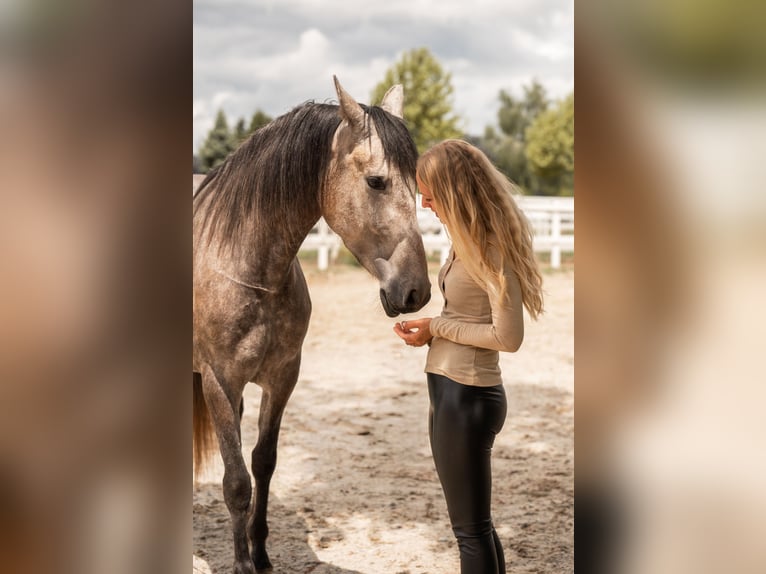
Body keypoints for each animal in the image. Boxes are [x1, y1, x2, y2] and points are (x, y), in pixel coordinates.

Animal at [193, 76, 431, 573]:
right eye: (376, 181)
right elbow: (236, 482)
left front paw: (261, 554)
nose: (416, 292)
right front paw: (242, 565)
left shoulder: (283, 378)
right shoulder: (217, 383)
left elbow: (262, 463)